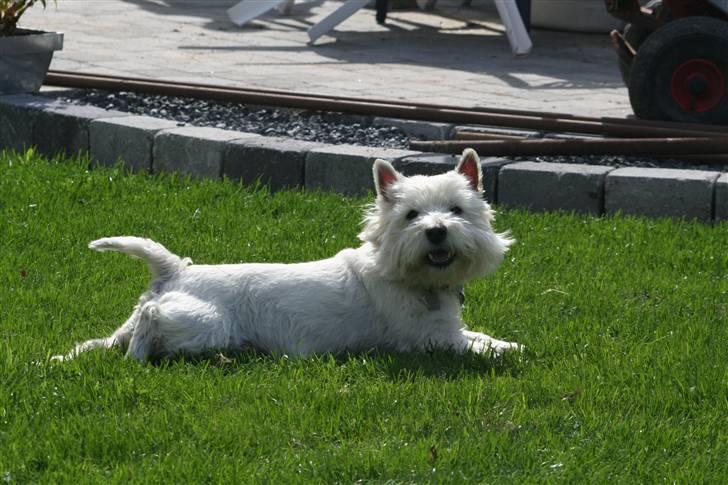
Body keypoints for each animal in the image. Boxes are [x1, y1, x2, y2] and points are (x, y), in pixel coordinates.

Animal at [54, 149, 520, 362]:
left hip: (152, 323)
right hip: (205, 323)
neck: (408, 275)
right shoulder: (428, 340)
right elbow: (479, 343)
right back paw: (138, 357)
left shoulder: (443, 330)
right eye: (411, 215)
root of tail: (171, 270)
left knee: (108, 338)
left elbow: (478, 334)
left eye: (457, 209)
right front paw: (509, 347)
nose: (437, 231)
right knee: (150, 327)